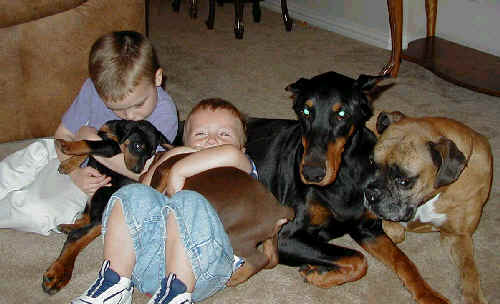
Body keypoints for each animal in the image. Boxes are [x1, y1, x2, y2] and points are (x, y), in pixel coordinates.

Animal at [145, 152, 294, 288]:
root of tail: (280, 210)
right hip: (270, 235)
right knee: (272, 258)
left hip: (235, 237)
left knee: (261, 259)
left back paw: (235, 278)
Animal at [245, 72, 450, 304]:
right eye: (305, 111)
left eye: (342, 113)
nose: (312, 174)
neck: (344, 175)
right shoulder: (285, 236)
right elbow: (358, 259)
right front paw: (316, 274)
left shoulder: (368, 229)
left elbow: (402, 259)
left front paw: (430, 295)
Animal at [364, 110, 492, 304]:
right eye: (371, 163)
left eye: (404, 180)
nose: (369, 194)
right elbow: (399, 240)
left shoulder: (458, 236)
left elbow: (469, 268)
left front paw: (474, 296)